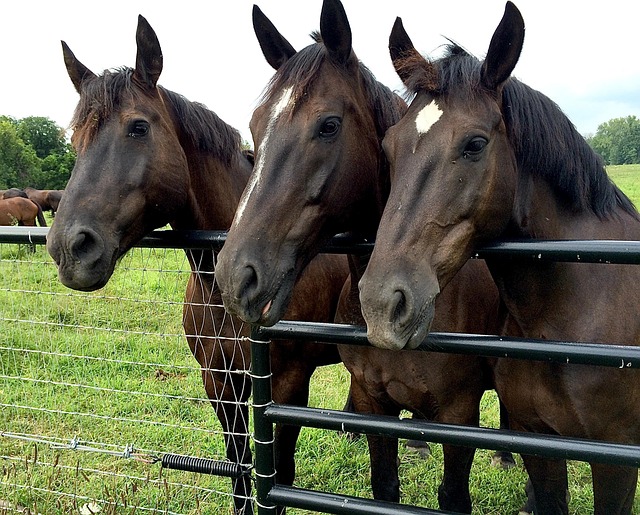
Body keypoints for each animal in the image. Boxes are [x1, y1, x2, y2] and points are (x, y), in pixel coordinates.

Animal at [45, 15, 348, 515]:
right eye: (75, 139)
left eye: (138, 127)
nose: (70, 248)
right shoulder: (220, 384)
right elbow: (240, 470)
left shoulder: (287, 386)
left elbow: (279, 476)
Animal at [216, 0, 515, 511]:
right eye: (254, 126)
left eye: (328, 125)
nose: (237, 276)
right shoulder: (375, 404)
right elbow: (385, 487)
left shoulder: (461, 414)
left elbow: (454, 495)